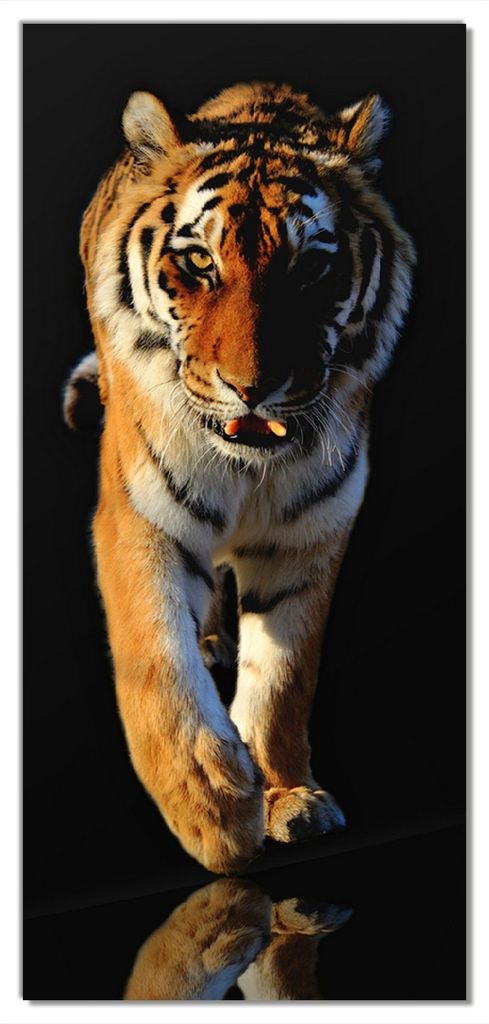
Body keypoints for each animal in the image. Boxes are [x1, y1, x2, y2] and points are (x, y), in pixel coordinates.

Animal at [65, 81, 415, 874]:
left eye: (310, 267)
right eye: (198, 262)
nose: (250, 388)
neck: (250, 468)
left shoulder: (310, 531)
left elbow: (284, 676)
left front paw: (288, 797)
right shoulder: (141, 516)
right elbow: (154, 659)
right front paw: (212, 808)